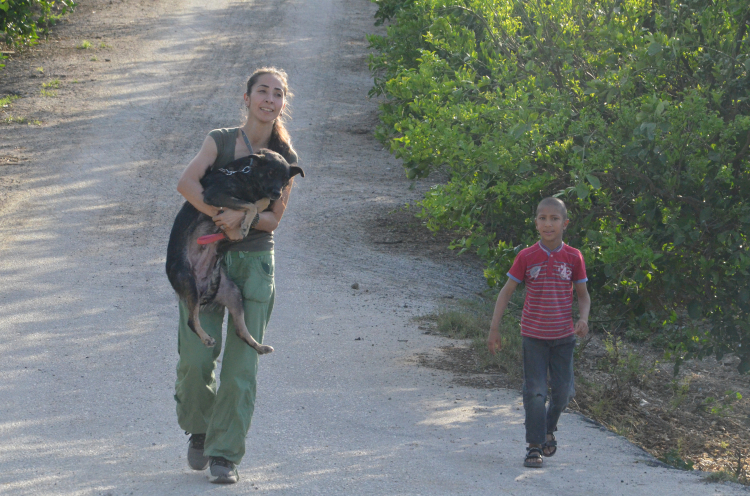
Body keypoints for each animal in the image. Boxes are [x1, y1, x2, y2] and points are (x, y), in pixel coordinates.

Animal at [166, 149, 304, 354]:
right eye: (270, 173)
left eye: (285, 179)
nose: (278, 193)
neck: (246, 176)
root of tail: (203, 286)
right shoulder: (215, 195)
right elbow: (250, 204)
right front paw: (246, 223)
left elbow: (260, 202)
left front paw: (250, 218)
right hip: (188, 282)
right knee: (192, 321)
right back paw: (206, 338)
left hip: (233, 294)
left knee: (240, 330)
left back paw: (259, 346)